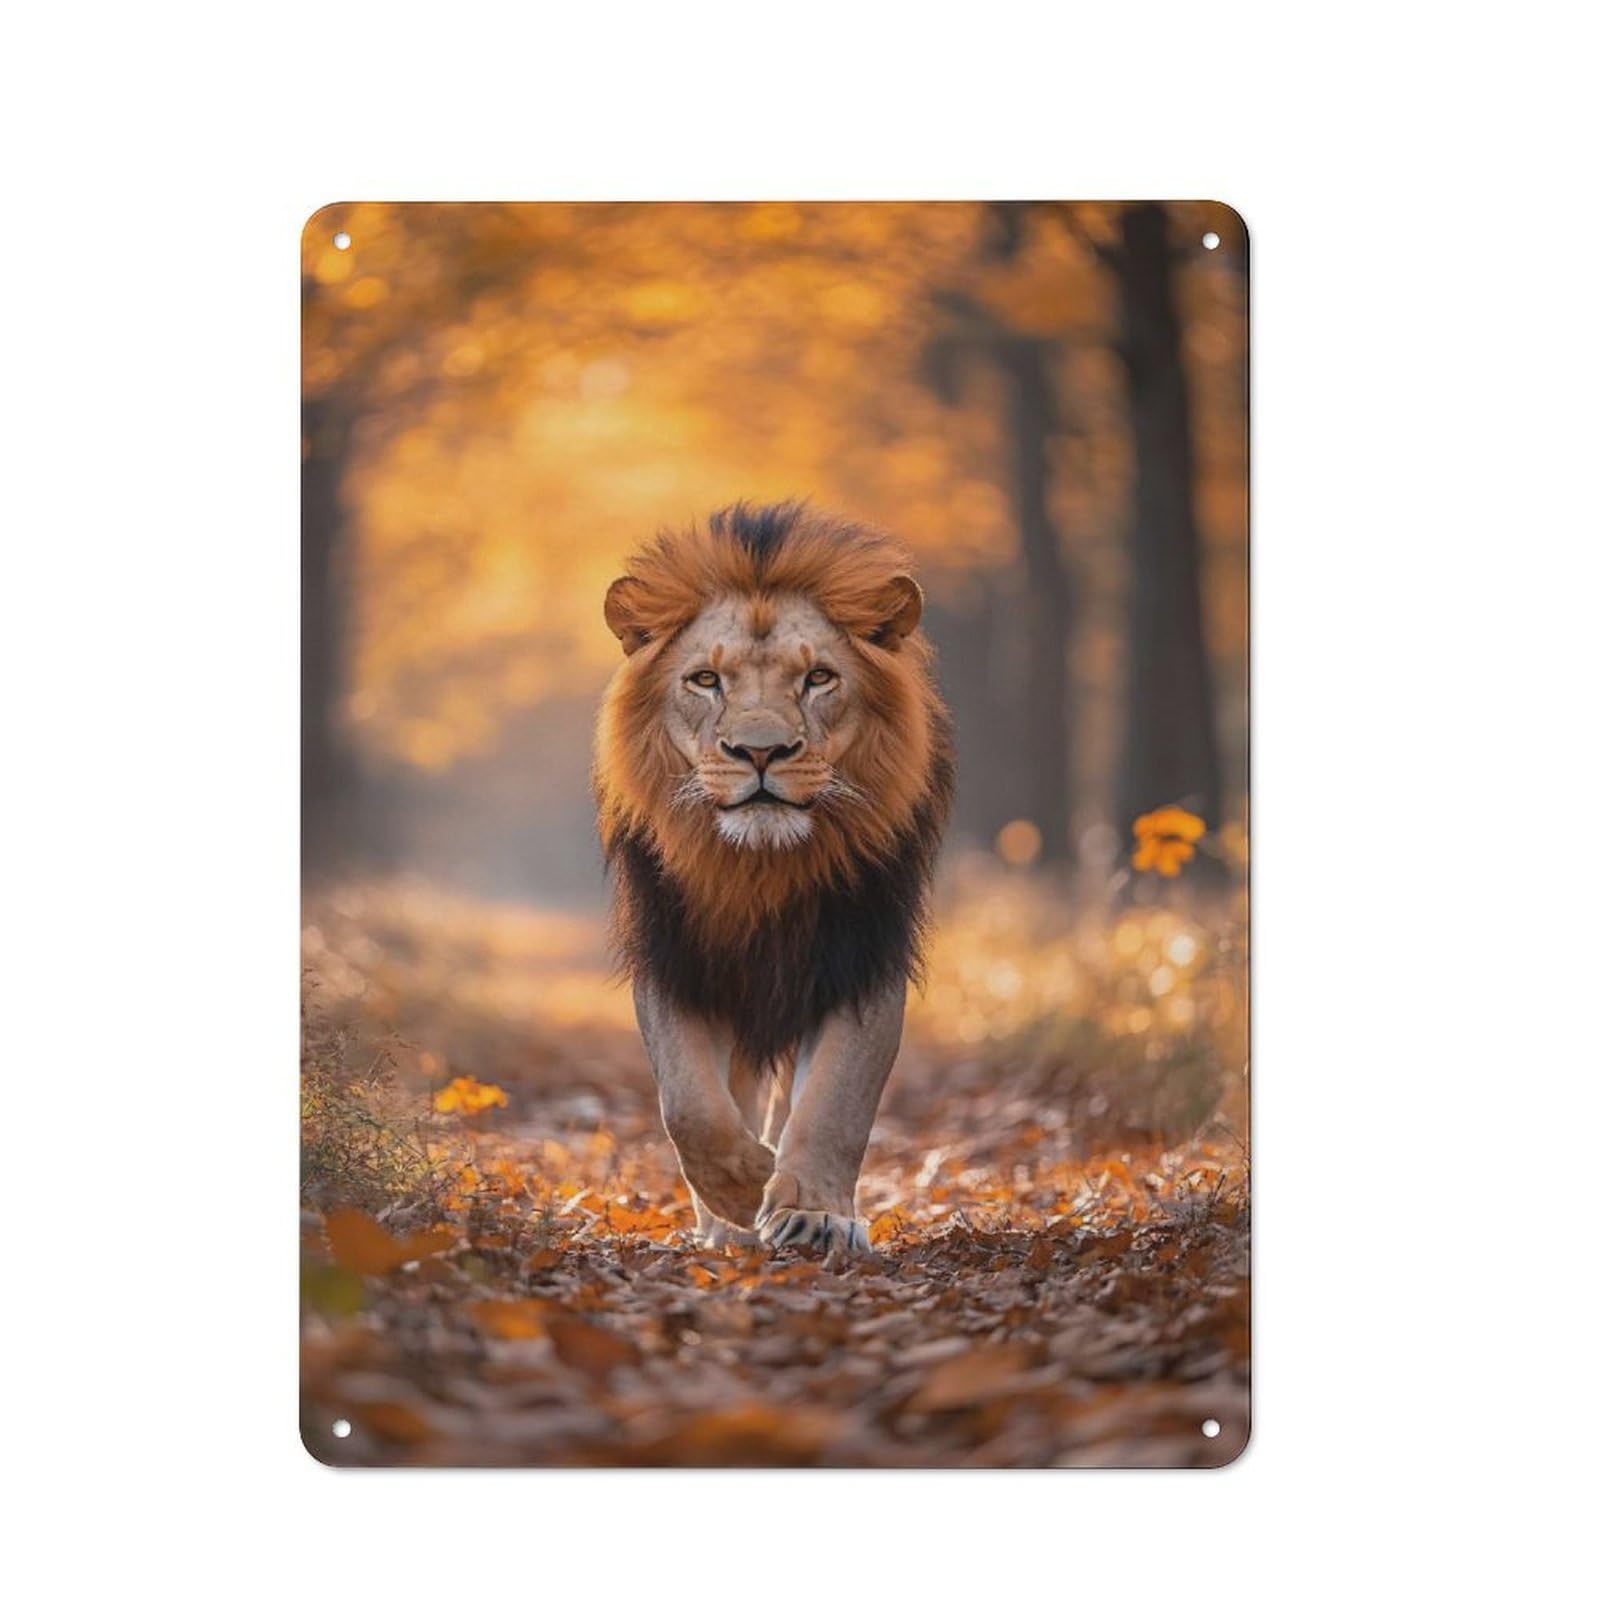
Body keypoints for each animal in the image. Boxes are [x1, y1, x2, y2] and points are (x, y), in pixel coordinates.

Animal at [595, 501, 954, 1254]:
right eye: (706, 680)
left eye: (818, 678)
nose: (760, 752)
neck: (760, 868)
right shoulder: (676, 959)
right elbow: (690, 1106)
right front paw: (741, 1193)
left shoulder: (860, 960)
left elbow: (834, 1103)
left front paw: (812, 1211)